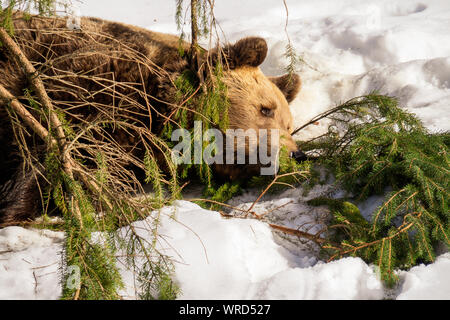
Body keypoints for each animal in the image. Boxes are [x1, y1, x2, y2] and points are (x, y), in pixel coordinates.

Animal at [0, 12, 304, 225]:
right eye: (266, 108)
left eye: (290, 126)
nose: (296, 154)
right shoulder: (82, 81)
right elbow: (49, 144)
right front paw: (15, 207)